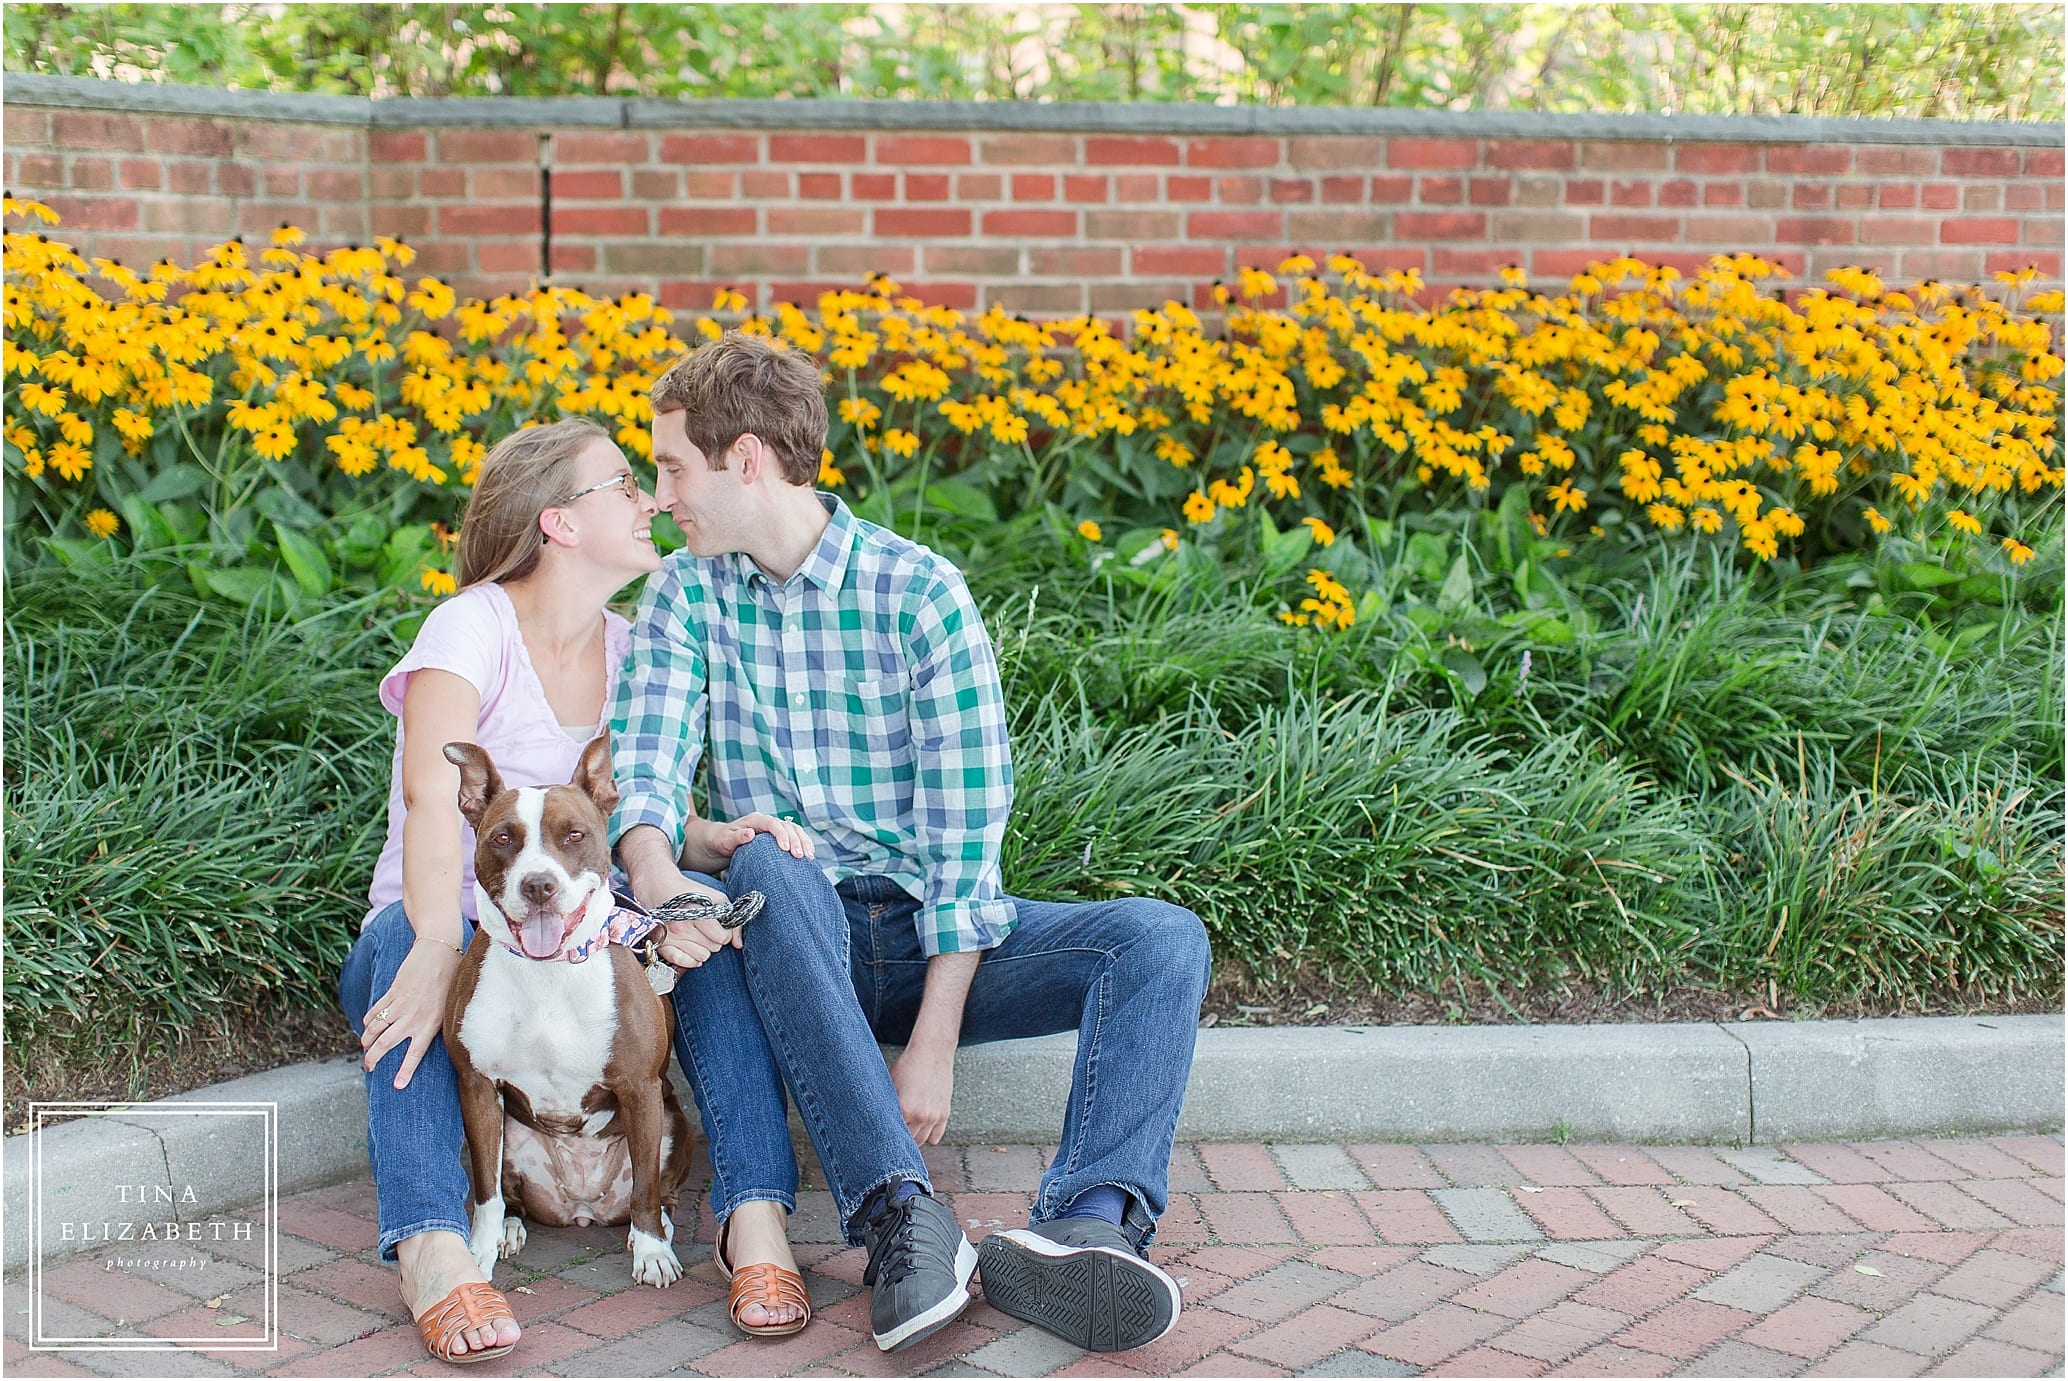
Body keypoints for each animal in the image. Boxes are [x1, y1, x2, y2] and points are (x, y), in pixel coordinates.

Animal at [436, 740, 694, 1290]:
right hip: (513, 1138)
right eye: (503, 837)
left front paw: (652, 1251)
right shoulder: (477, 1086)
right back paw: (511, 1228)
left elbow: (645, 1187)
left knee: (656, 1188)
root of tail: (582, 1207)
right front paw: (478, 1253)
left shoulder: (639, 1087)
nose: (538, 885)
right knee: (509, 1195)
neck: (547, 972)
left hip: (669, 1122)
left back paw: (655, 1227)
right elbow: (486, 1193)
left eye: (574, 834)